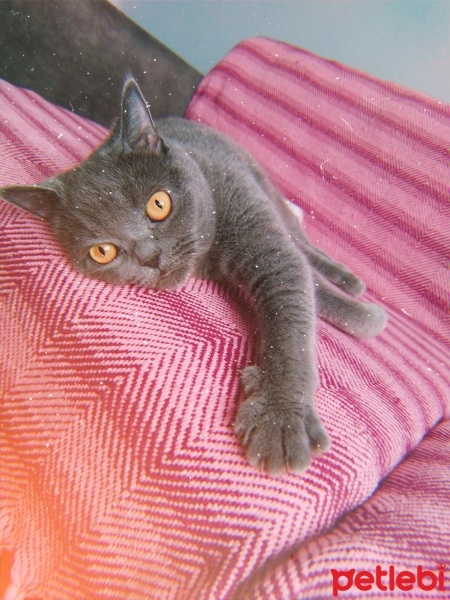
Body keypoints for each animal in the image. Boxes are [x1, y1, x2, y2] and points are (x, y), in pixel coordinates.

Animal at [0, 77, 386, 476]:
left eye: (158, 204)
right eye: (103, 252)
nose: (150, 256)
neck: (209, 259)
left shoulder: (262, 235)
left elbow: (294, 316)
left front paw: (280, 418)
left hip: (264, 186)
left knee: (303, 242)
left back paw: (349, 281)